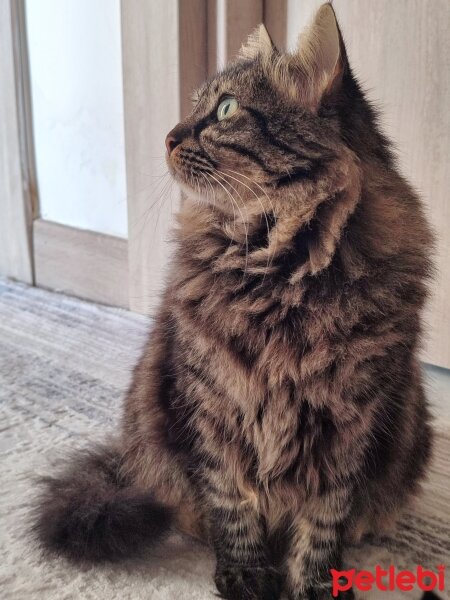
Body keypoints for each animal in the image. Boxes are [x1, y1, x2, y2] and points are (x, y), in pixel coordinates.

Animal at [35, 4, 436, 600]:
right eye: (194, 106)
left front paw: (316, 582)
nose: (168, 136)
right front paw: (247, 574)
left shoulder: (350, 421)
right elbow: (233, 501)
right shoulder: (214, 402)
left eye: (225, 110)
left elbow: (324, 519)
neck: (280, 277)